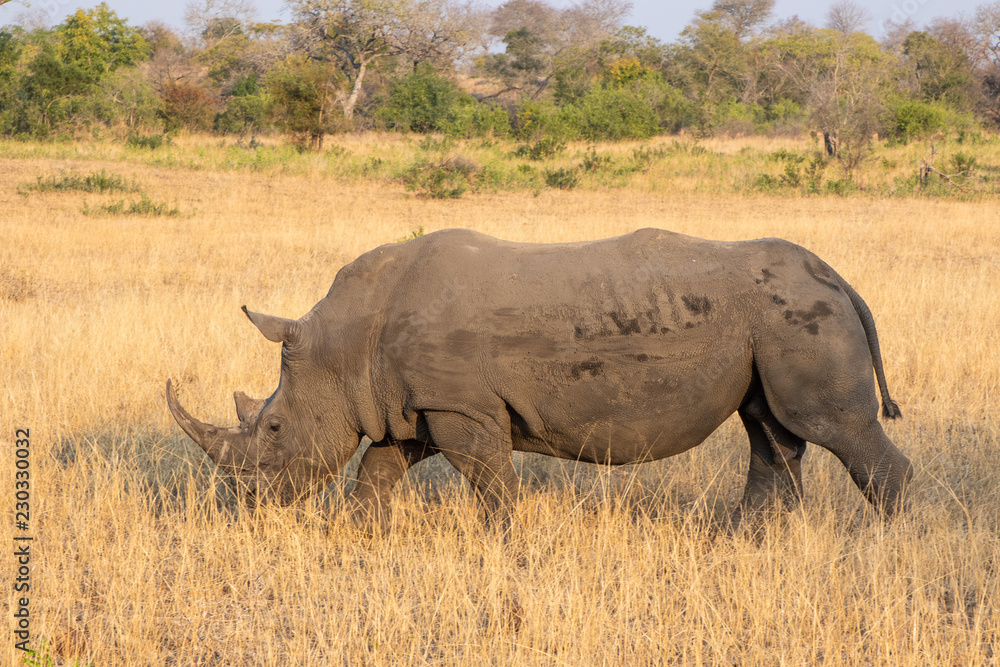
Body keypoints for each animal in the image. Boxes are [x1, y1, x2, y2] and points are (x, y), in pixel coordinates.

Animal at [166, 228, 912, 528]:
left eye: (273, 427)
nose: (248, 505)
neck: (344, 345)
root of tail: (836, 277)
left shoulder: (460, 407)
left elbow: (492, 483)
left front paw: (505, 542)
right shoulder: (416, 405)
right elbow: (377, 470)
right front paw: (358, 535)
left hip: (797, 317)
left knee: (830, 425)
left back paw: (884, 540)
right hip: (772, 323)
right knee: (770, 428)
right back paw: (748, 538)